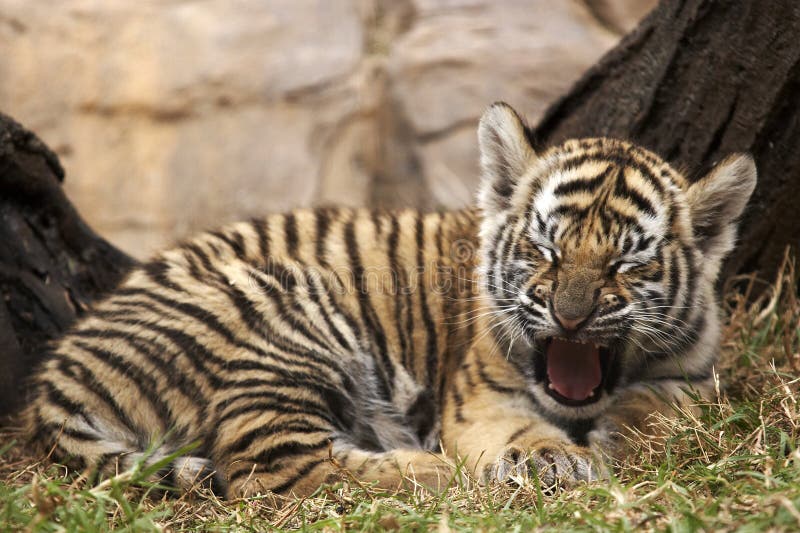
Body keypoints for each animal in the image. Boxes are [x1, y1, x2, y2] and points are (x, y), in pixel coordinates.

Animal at [23, 102, 757, 498]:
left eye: (624, 264)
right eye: (545, 250)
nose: (570, 317)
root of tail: (55, 377)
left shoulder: (691, 380)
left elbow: (657, 416)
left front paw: (616, 438)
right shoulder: (480, 398)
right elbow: (525, 434)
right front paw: (555, 460)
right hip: (288, 316)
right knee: (274, 469)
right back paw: (439, 475)